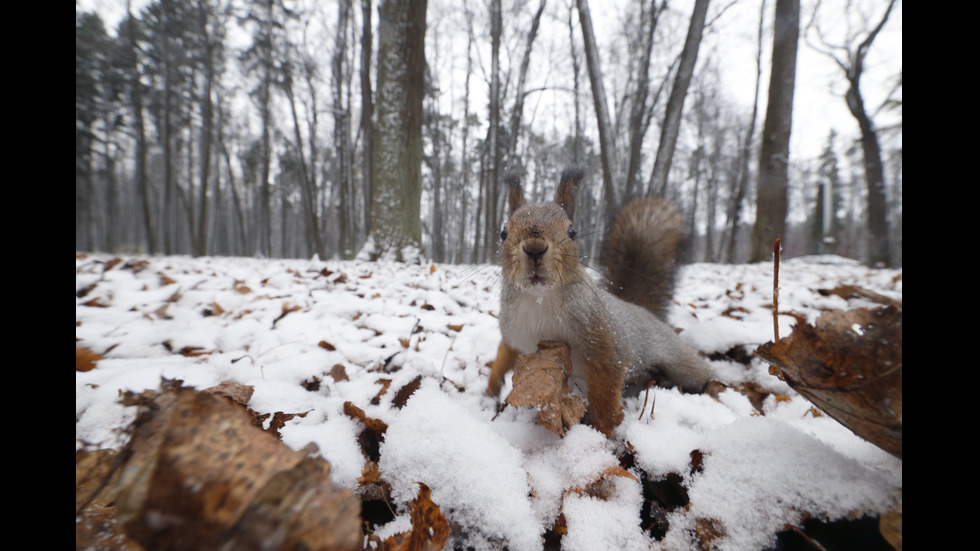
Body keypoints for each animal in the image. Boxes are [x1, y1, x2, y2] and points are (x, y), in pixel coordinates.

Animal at [488, 166, 712, 438]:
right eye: (503, 233)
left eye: (572, 231)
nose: (534, 248)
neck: (538, 299)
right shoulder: (512, 333)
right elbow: (503, 355)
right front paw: (491, 387)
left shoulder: (602, 340)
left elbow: (605, 389)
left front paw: (603, 430)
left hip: (680, 359)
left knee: (700, 372)